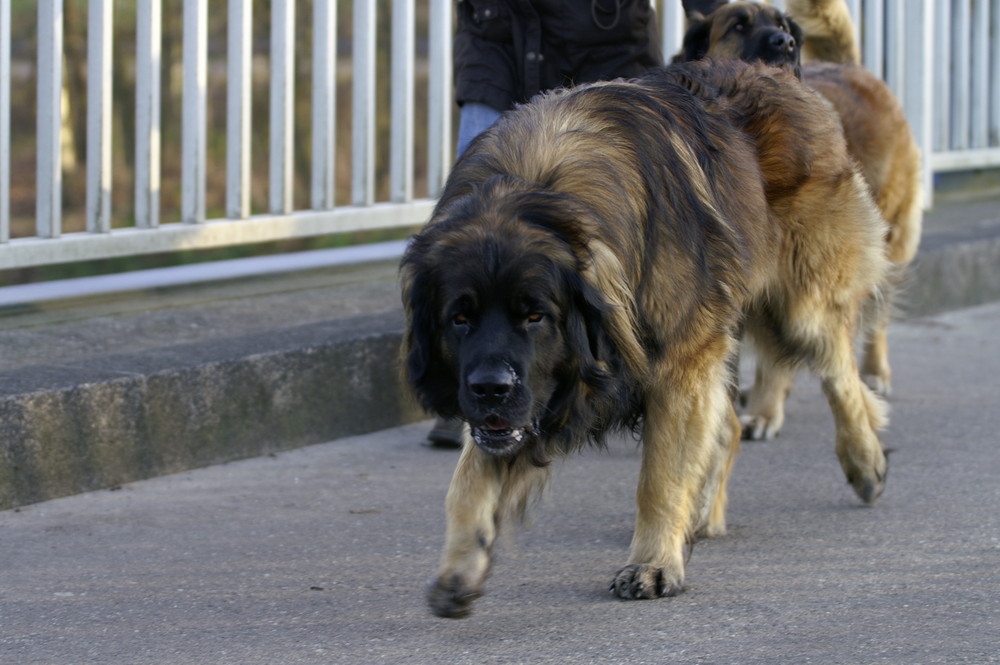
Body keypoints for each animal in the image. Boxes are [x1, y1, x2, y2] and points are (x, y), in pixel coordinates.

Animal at [402, 58, 888, 616]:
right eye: (459, 319)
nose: (490, 388)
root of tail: (779, 68)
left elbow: (659, 478)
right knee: (731, 424)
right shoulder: (512, 403)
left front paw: (654, 564)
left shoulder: (679, 364)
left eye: (536, 316)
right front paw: (460, 566)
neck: (545, 188)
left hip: (800, 304)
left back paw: (865, 461)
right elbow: (466, 481)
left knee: (841, 375)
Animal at [680, 0, 920, 438]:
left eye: (782, 26)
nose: (785, 43)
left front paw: (765, 410)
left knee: (877, 309)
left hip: (886, 239)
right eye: (738, 25)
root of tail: (848, 66)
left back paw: (874, 370)